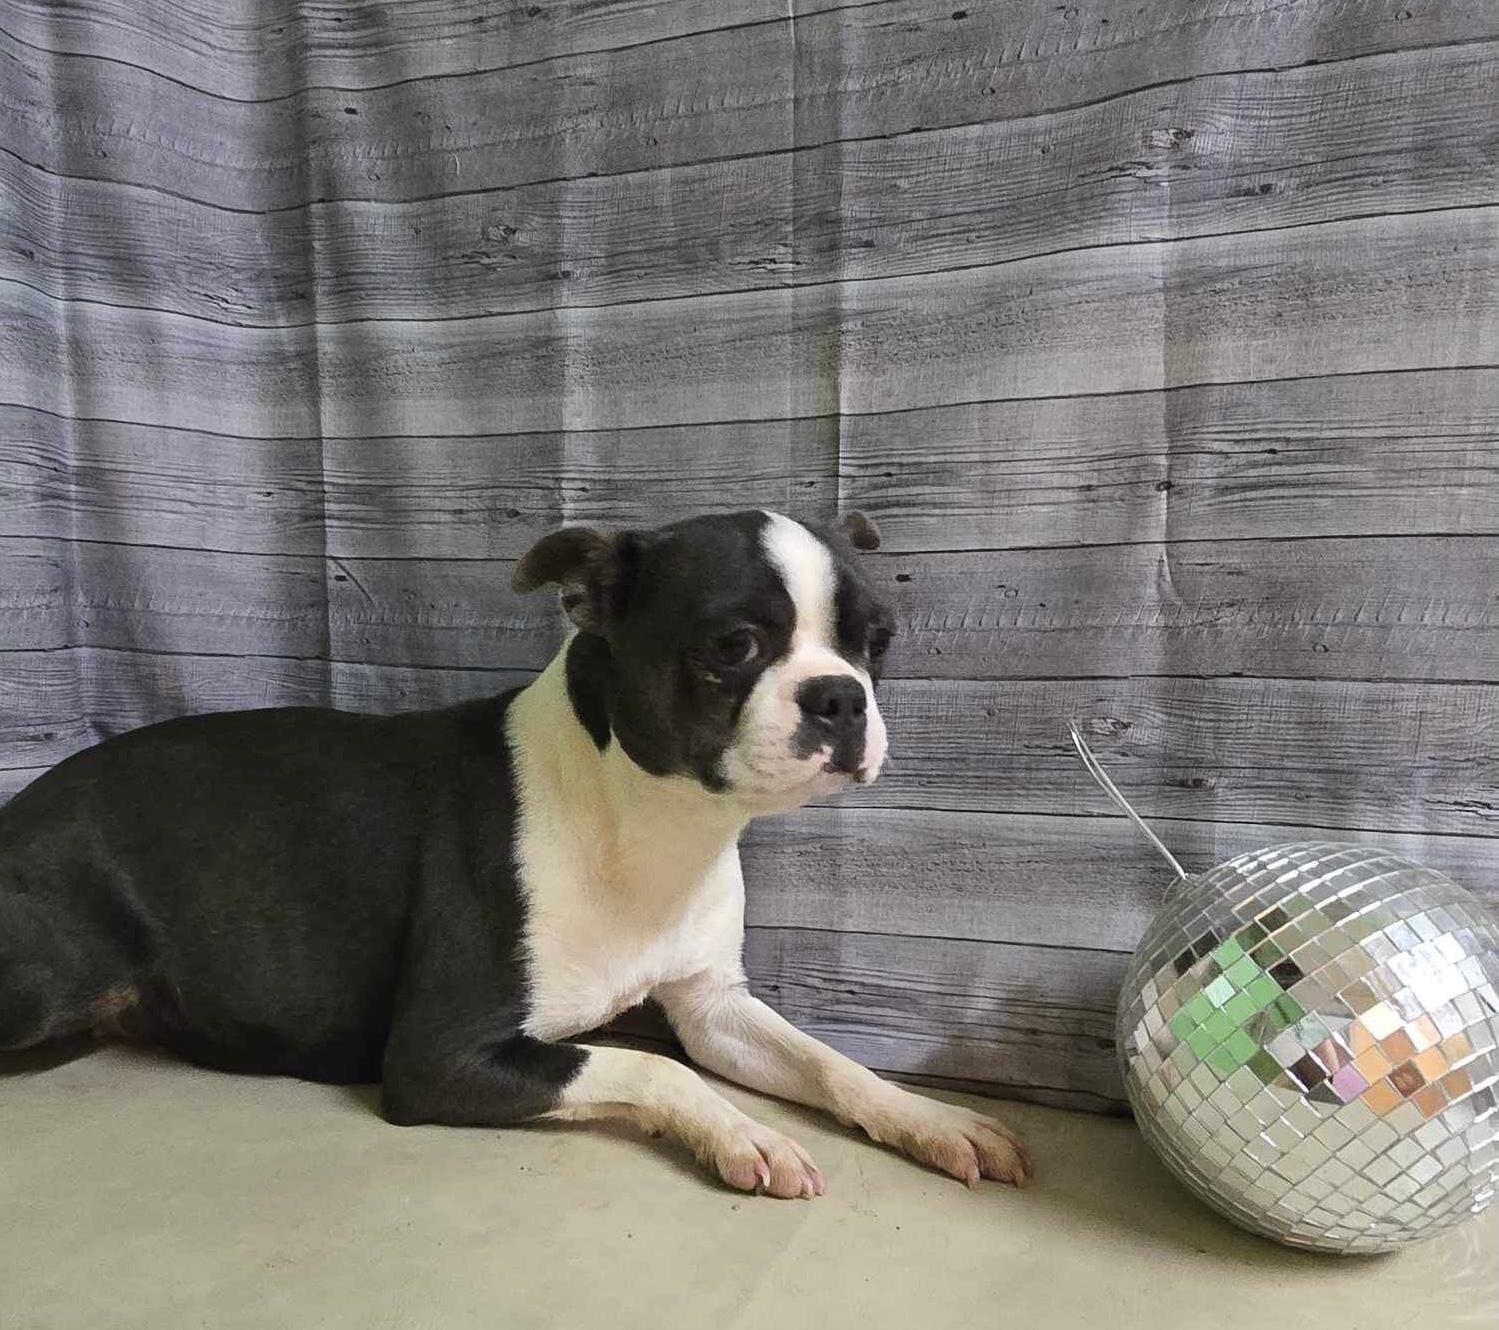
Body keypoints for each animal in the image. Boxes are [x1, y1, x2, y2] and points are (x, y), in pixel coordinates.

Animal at [0, 510, 1029, 1197]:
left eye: (877, 643)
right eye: (733, 646)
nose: (841, 696)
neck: (649, 819)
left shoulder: (712, 1009)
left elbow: (826, 1062)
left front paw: (932, 1119)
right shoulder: (442, 1056)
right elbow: (659, 1068)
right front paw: (746, 1135)